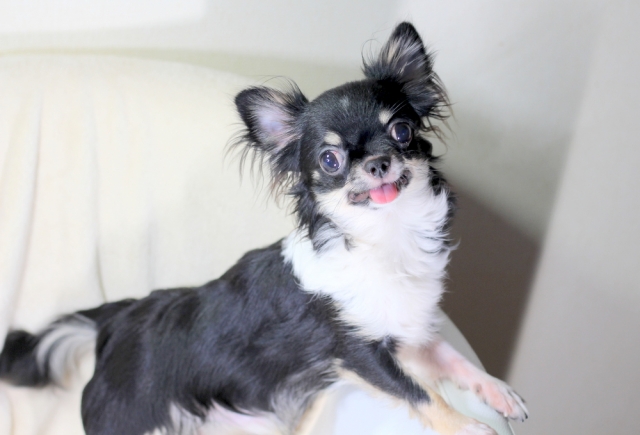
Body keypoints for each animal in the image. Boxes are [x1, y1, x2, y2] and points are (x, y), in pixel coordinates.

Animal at [0, 22, 527, 435]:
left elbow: (452, 359)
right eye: (330, 160)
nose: (378, 162)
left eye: (402, 131)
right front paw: (469, 427)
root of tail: (119, 320)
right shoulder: (360, 354)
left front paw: (497, 391)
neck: (386, 236)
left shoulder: (405, 335)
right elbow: (420, 394)